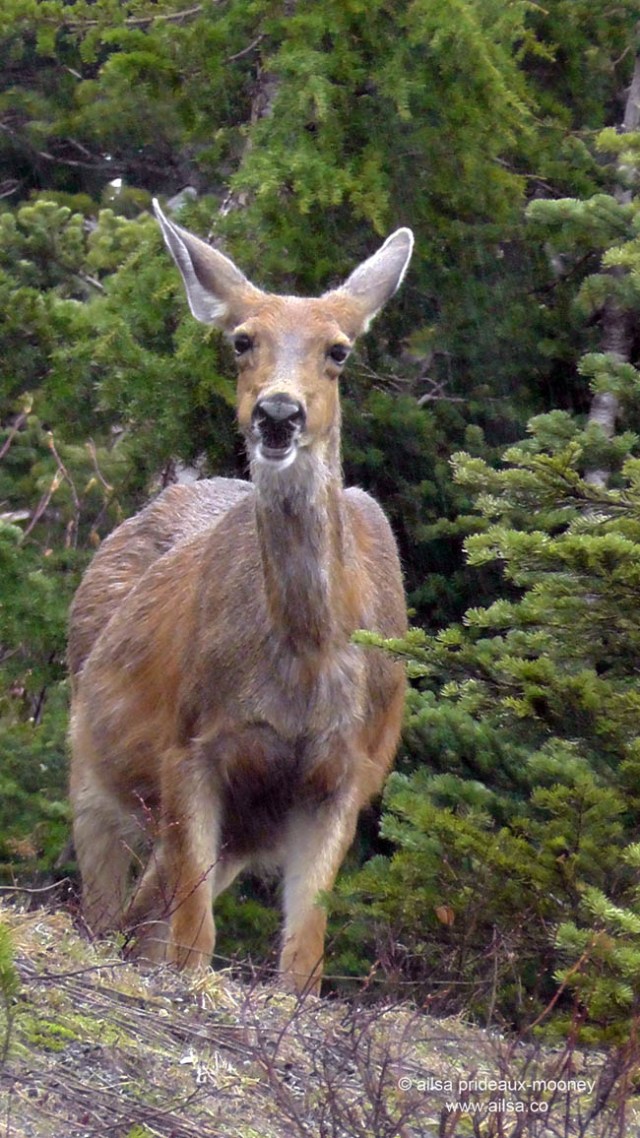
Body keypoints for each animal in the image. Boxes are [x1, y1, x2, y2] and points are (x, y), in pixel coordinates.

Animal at [68, 201, 413, 994]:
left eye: (339, 350)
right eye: (241, 340)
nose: (278, 413)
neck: (307, 660)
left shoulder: (347, 775)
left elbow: (303, 957)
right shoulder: (188, 745)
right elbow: (195, 939)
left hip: (242, 827)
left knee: (140, 914)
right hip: (89, 766)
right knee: (107, 912)